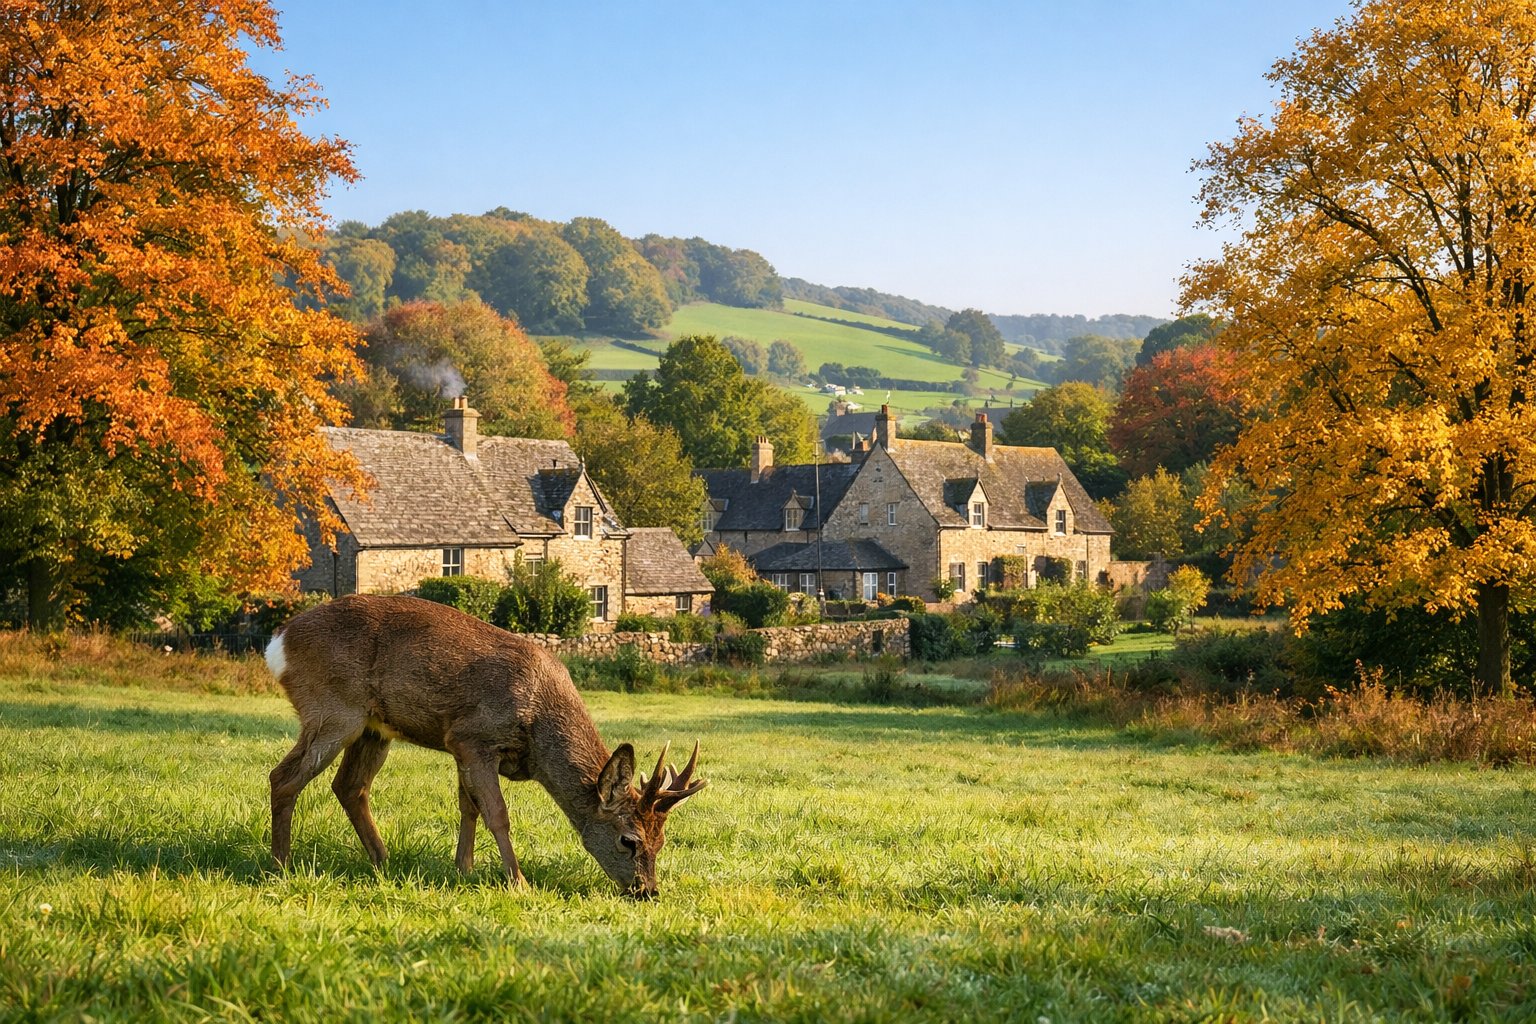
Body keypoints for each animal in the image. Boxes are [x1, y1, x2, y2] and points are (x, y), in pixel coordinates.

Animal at [262, 593, 705, 899]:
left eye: (662, 841)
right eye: (628, 840)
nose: (647, 891)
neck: (537, 736)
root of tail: (277, 643)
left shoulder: (461, 745)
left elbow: (469, 808)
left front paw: (464, 870)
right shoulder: (472, 736)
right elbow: (497, 813)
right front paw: (518, 882)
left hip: (374, 728)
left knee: (350, 786)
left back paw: (383, 862)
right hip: (333, 709)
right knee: (283, 776)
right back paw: (281, 865)